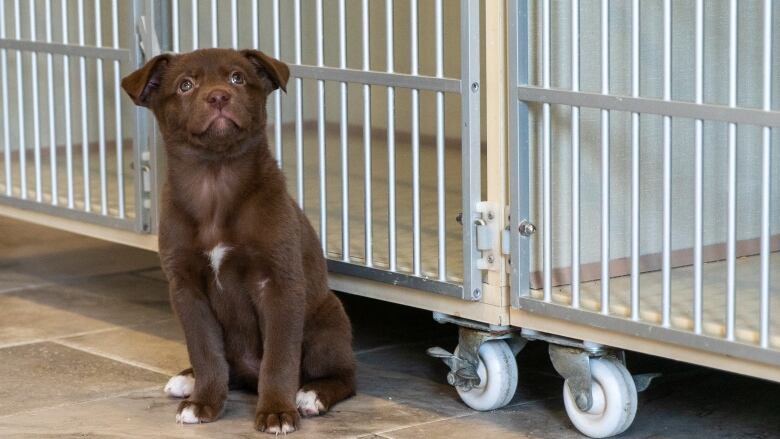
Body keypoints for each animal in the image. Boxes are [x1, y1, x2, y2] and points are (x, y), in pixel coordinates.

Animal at [122, 49, 356, 434]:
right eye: (185, 85)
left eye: (237, 78)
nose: (218, 97)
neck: (215, 181)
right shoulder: (187, 289)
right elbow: (206, 353)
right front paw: (203, 403)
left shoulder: (279, 286)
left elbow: (279, 359)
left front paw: (277, 412)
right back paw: (188, 379)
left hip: (328, 320)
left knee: (345, 375)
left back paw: (311, 395)